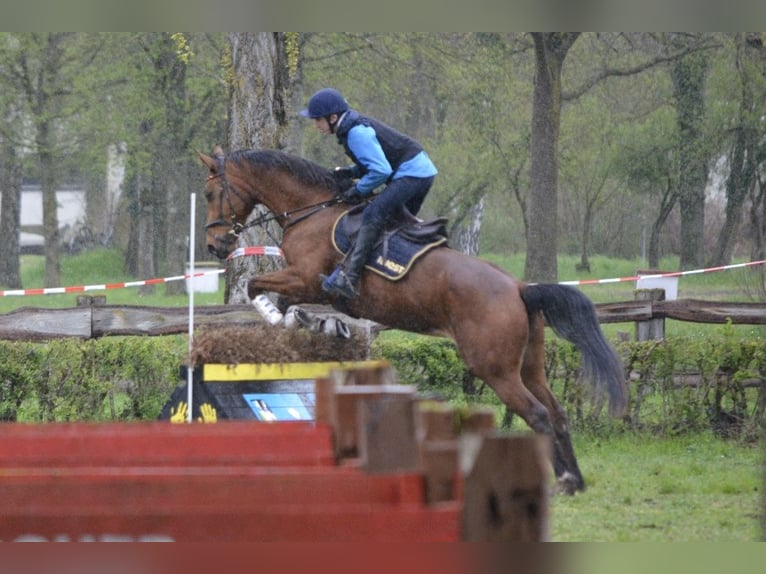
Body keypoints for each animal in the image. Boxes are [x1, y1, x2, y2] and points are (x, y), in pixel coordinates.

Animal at [198, 146, 627, 494]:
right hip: (530, 366)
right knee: (556, 412)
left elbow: (256, 287)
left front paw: (281, 318)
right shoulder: (303, 285)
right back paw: (575, 479)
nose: (214, 245)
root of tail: (520, 288)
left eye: (209, 194)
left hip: (495, 369)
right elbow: (288, 307)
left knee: (537, 415)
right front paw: (319, 326)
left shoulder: (308, 279)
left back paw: (557, 479)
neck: (311, 210)